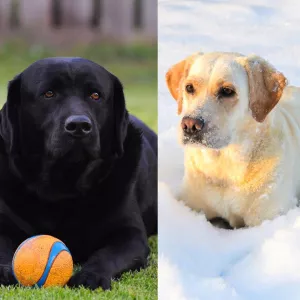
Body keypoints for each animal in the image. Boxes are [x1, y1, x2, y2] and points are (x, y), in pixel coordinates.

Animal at [0, 57, 157, 290]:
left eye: (95, 95)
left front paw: (91, 275)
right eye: (49, 93)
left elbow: (107, 254)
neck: (63, 187)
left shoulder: (131, 235)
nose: (79, 125)